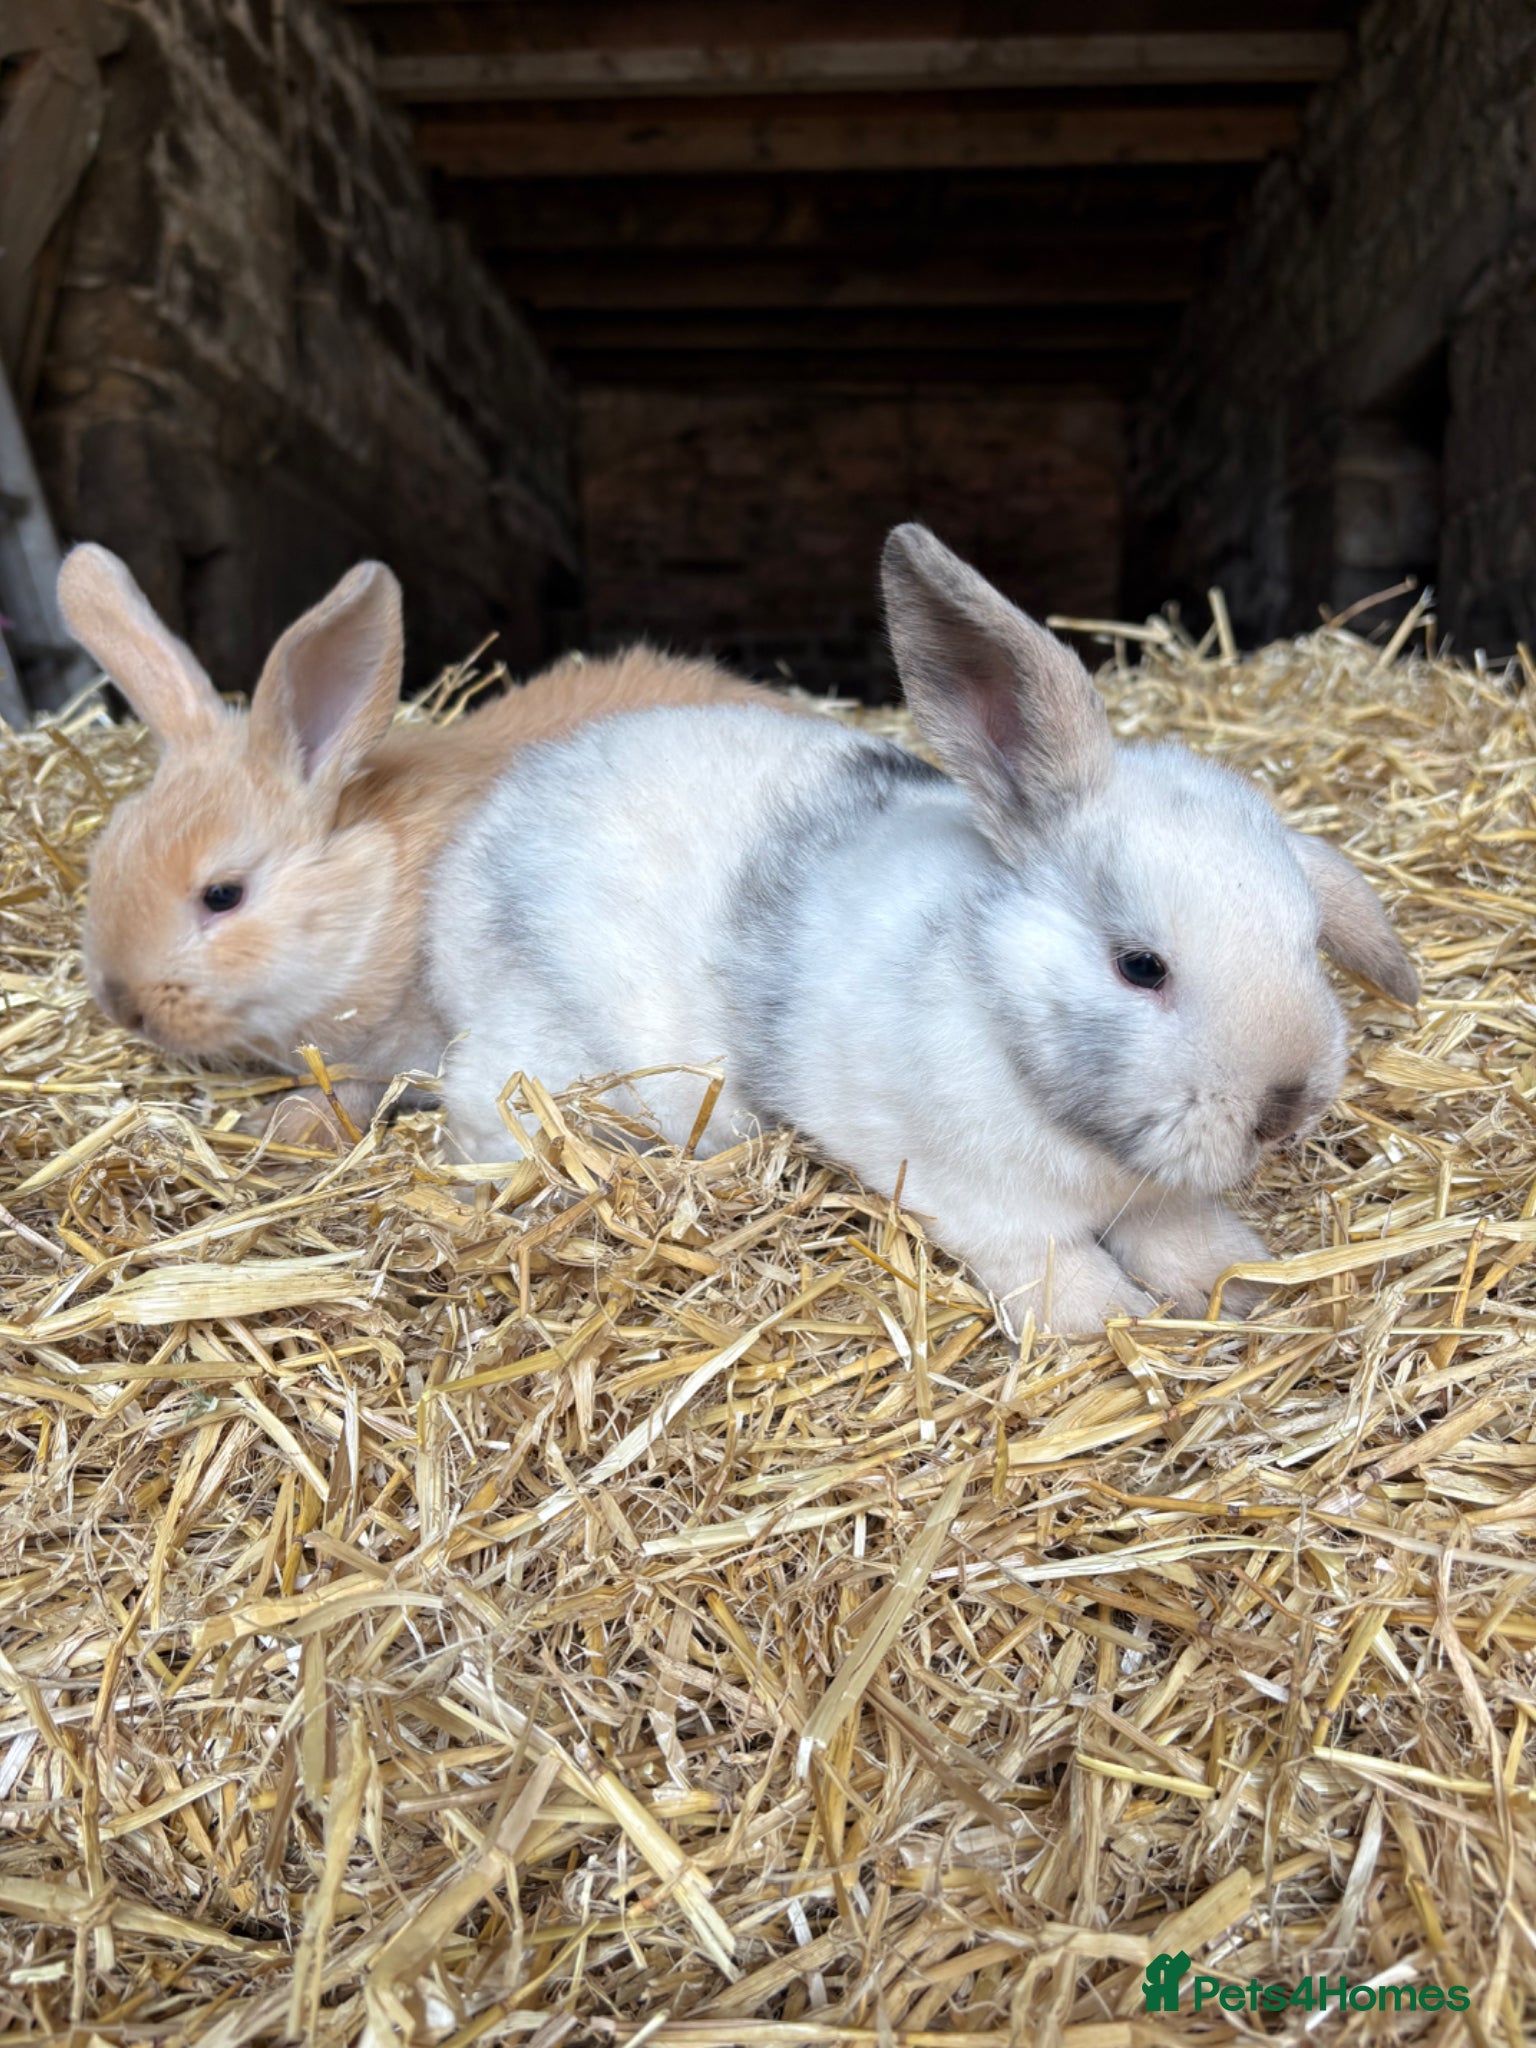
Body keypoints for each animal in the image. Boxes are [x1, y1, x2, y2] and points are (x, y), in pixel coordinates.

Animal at [428, 524, 1418, 1336]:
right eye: (1140, 966)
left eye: (1305, 941)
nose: (1286, 1110)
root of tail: (475, 845)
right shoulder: (978, 1197)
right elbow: (1053, 1262)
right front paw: (1107, 1322)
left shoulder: (1154, 1199)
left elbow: (1184, 1235)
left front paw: (1241, 1285)